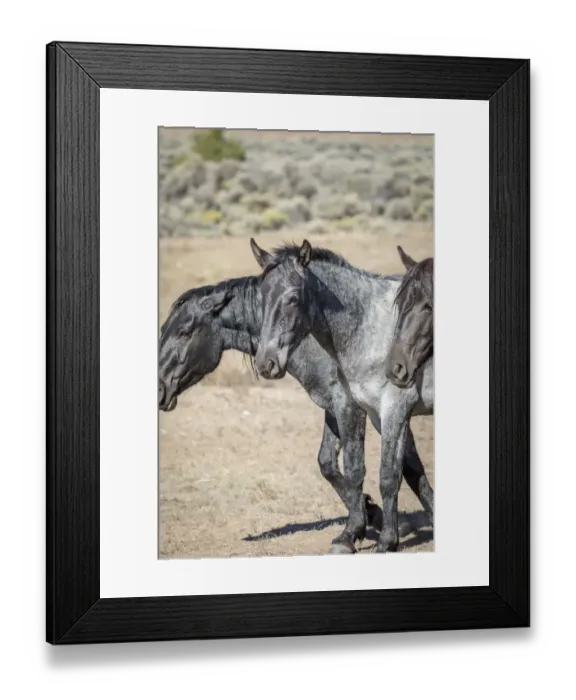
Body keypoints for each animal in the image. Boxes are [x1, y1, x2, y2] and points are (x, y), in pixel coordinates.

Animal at [158, 273, 433, 553]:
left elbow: (386, 468)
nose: (159, 389)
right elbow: (330, 465)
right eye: (163, 330)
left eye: (184, 332)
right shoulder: (336, 407)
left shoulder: (357, 407)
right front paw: (372, 515)